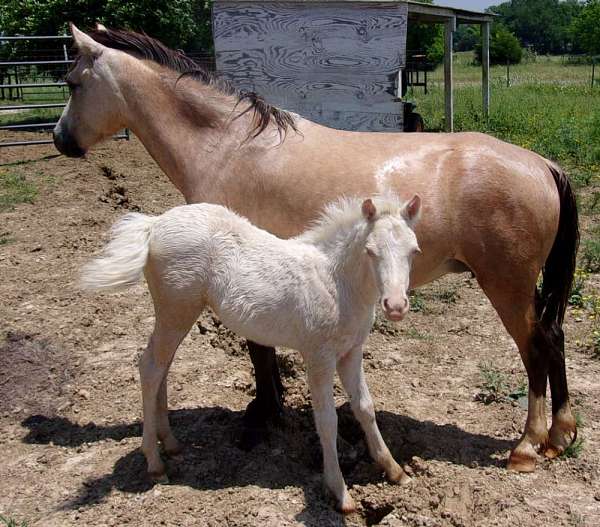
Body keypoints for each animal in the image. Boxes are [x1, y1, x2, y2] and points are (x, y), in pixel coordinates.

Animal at [82, 194, 422, 512]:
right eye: (371, 250)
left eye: (414, 251)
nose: (395, 306)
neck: (336, 282)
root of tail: (154, 225)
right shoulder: (319, 358)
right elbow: (327, 421)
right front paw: (340, 492)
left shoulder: (351, 352)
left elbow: (364, 407)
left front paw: (395, 470)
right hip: (176, 310)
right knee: (150, 367)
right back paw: (154, 463)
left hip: (176, 314)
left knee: (162, 366)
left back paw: (171, 442)